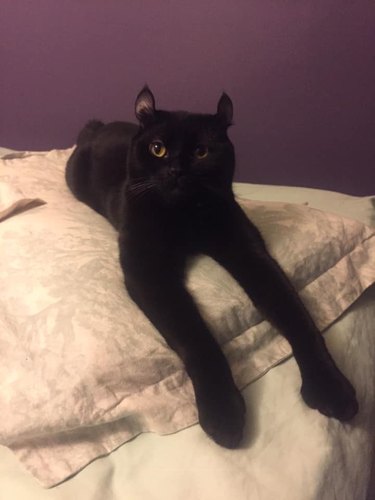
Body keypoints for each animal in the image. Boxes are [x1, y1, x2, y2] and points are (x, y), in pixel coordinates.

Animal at [66, 87, 360, 450]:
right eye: (158, 148)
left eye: (201, 151)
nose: (176, 170)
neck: (185, 218)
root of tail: (100, 126)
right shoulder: (149, 273)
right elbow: (196, 338)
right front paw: (223, 414)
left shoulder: (250, 253)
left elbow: (298, 317)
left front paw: (331, 388)